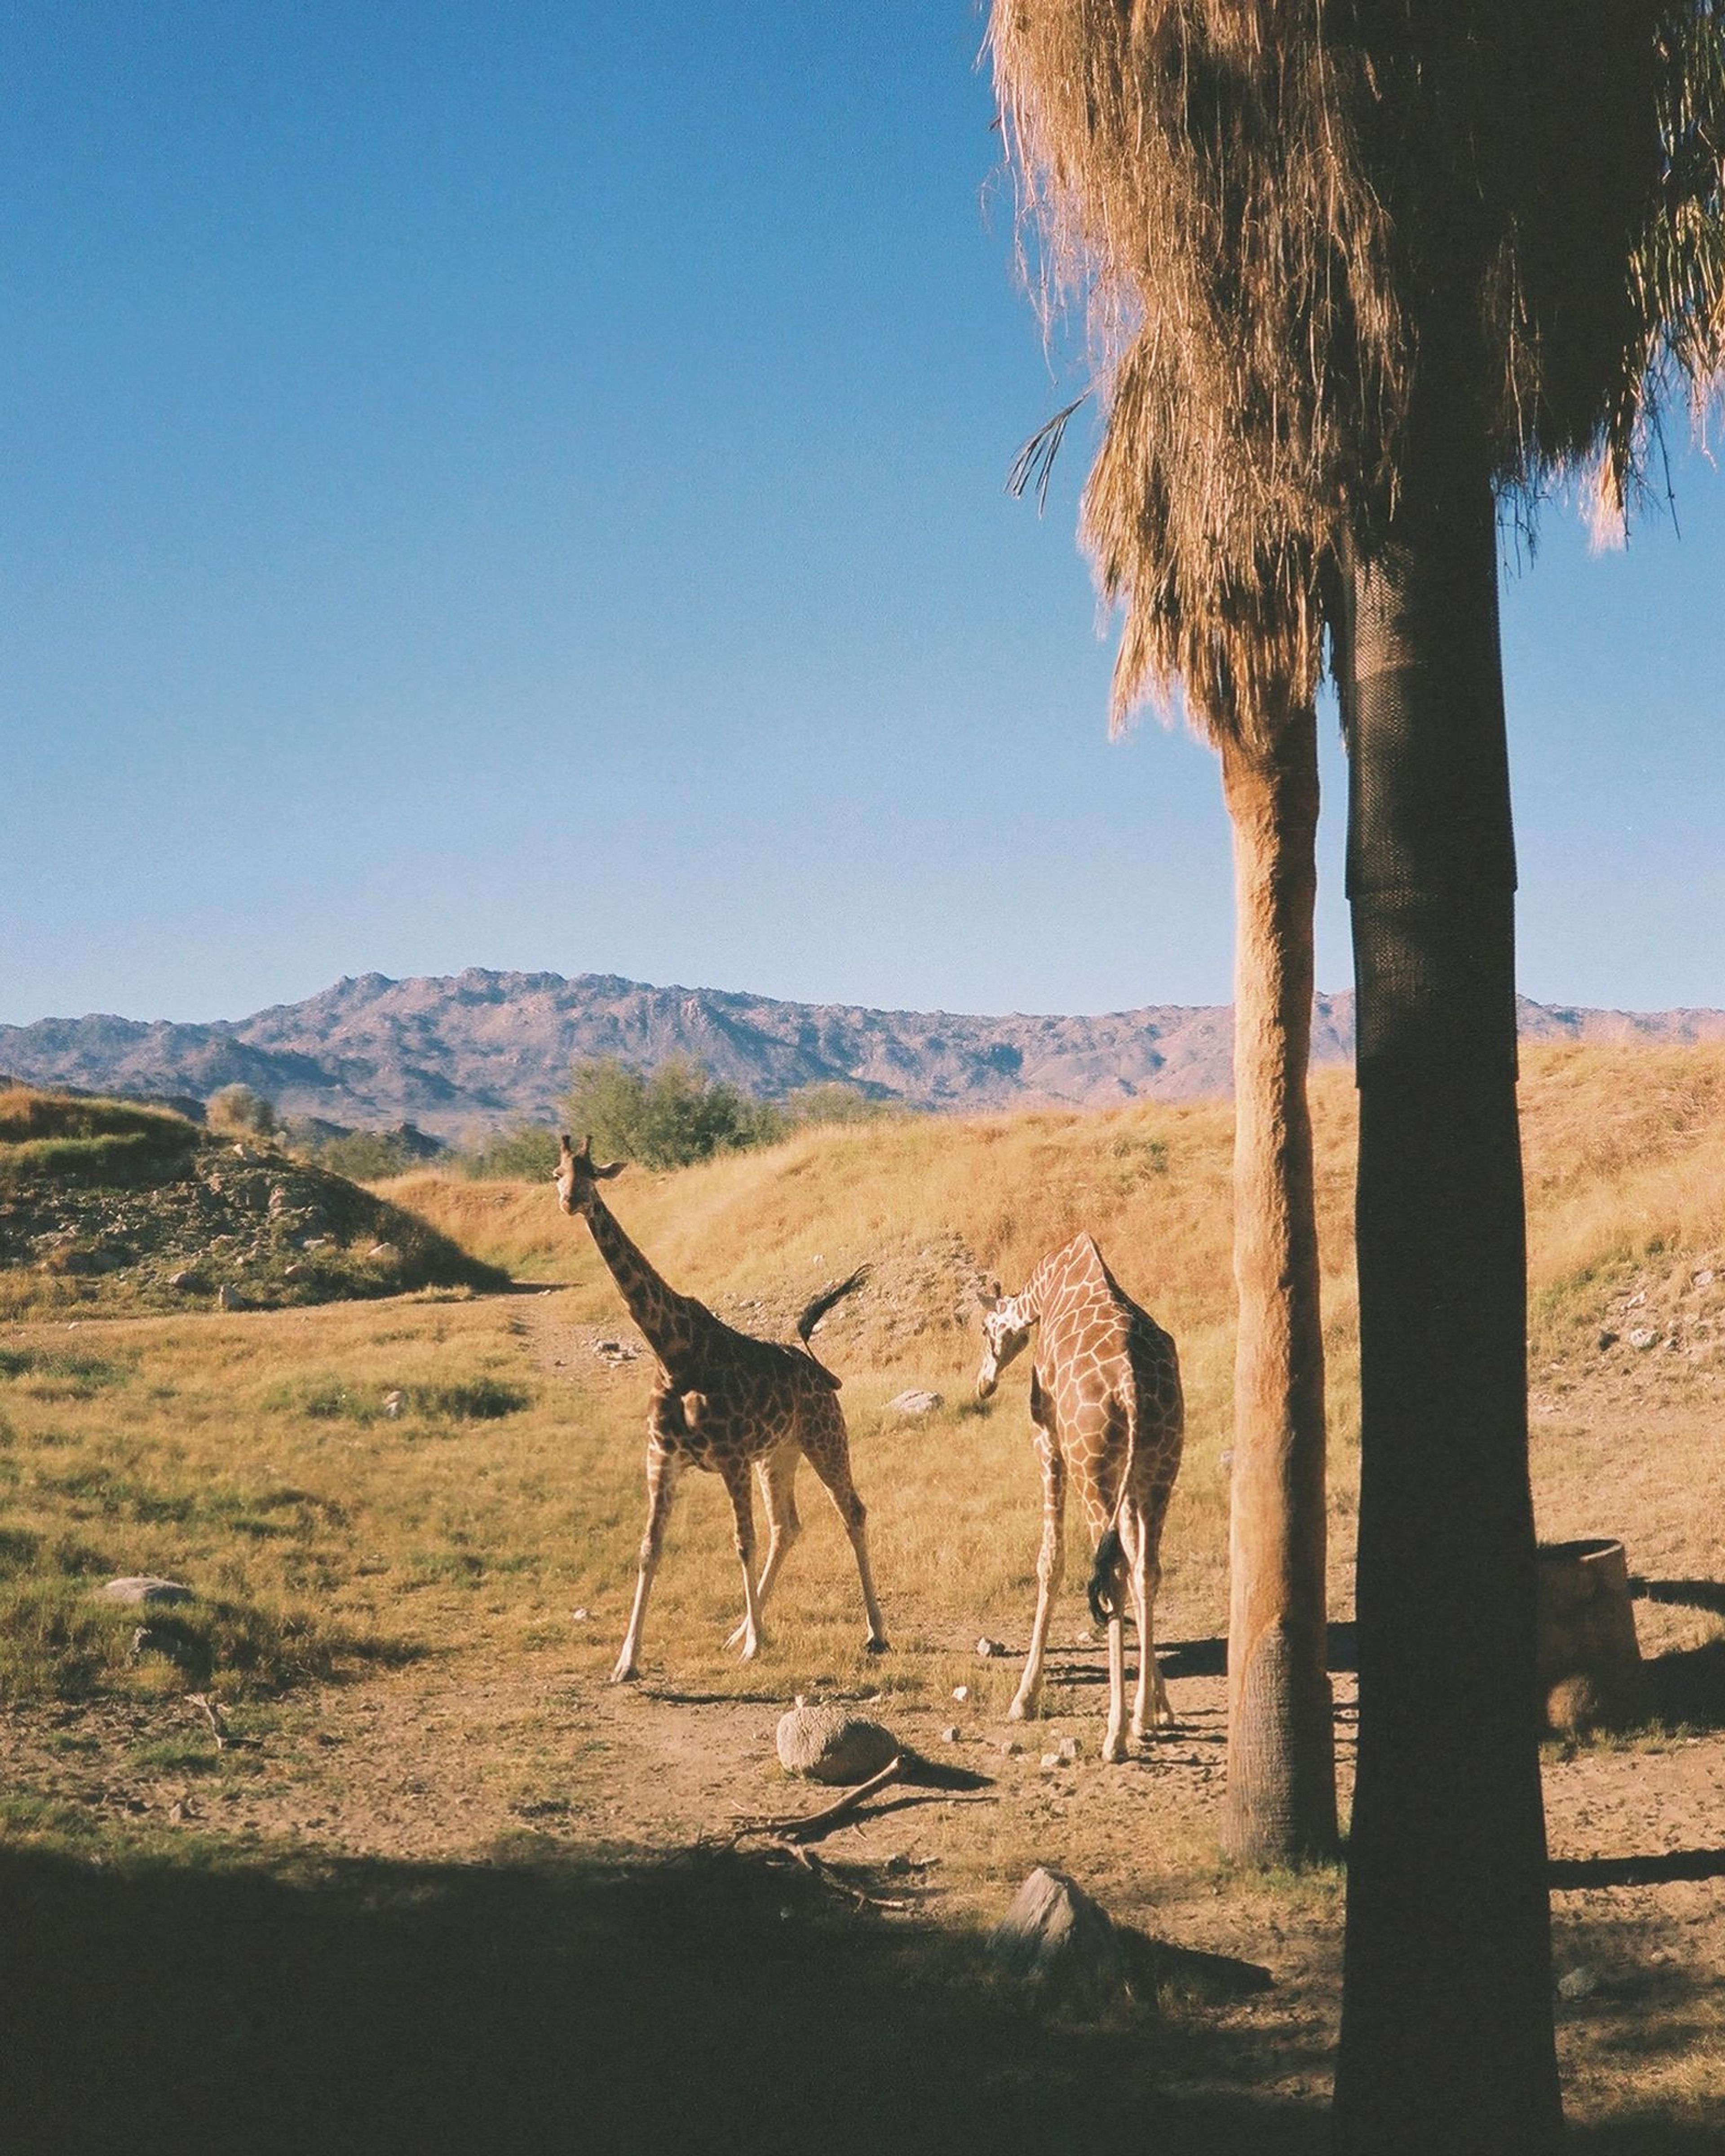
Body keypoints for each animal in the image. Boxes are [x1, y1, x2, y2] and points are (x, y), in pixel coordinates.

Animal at [552, 1130, 888, 1682]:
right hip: (778, 1454)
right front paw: (627, 1661)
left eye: (593, 1174)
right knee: (787, 1526)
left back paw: (875, 1632)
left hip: (824, 1437)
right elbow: (649, 1549)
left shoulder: (731, 1458)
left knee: (851, 1512)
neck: (674, 1353)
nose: (571, 1201)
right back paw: (740, 1630)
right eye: (558, 1174)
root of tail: (820, 1370)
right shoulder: (662, 1458)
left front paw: (755, 1647)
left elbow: (741, 1541)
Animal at [979, 1241, 1181, 1759]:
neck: (1047, 1284)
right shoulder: (1134, 1473)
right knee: (1145, 1569)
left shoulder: (1047, 1438)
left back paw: (1115, 1735)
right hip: (1160, 1467)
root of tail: (1132, 1388)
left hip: (1092, 1468)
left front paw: (1024, 1698)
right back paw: (1139, 1718)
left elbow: (1050, 1561)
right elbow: (1134, 1559)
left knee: (1112, 1575)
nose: (983, 1385)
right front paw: (1158, 1707)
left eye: (984, 1330)